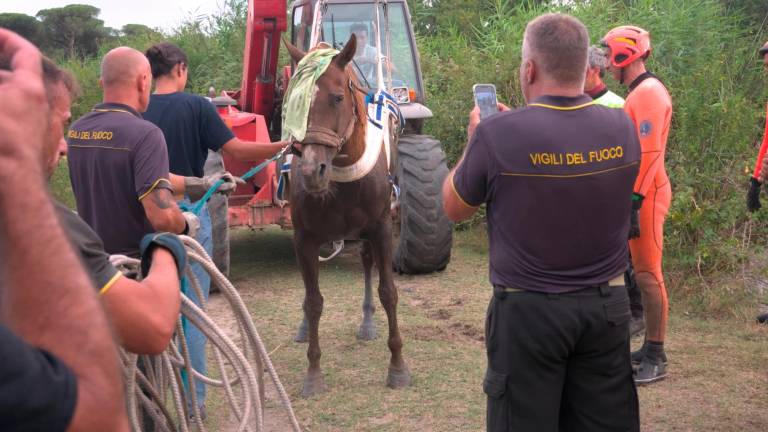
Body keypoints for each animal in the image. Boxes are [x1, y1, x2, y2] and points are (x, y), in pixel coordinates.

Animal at [284, 35, 412, 396]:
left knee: (368, 263)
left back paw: (367, 321)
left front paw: (398, 366)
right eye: (293, 103)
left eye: (337, 97)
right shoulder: (304, 238)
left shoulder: (381, 228)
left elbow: (388, 292)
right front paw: (313, 373)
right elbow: (313, 301)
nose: (311, 171)